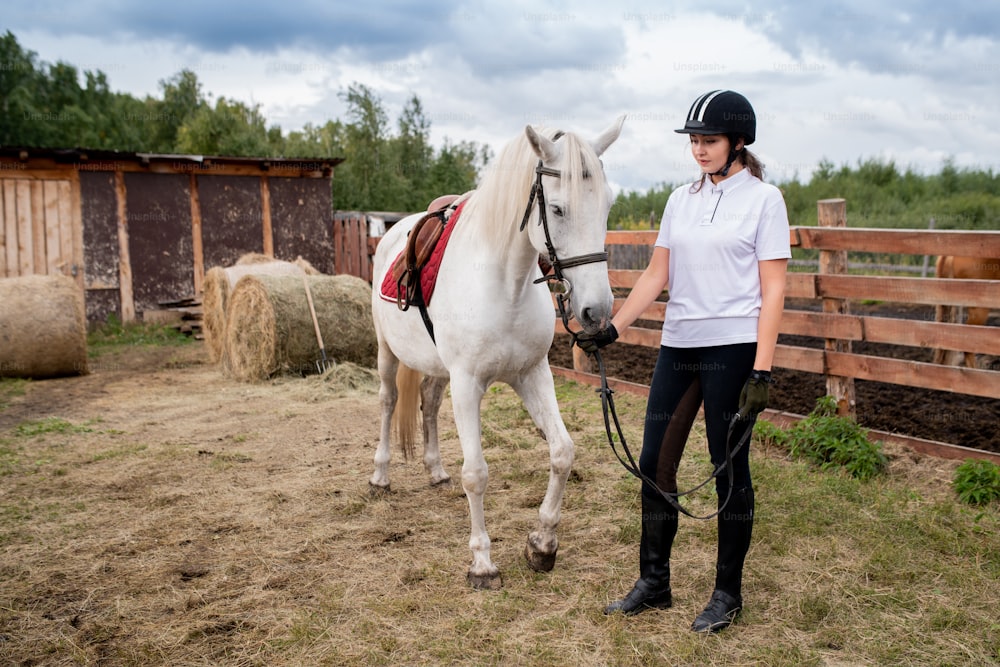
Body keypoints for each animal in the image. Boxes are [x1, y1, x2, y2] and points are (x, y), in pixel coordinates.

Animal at [368, 117, 624, 588]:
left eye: (607, 206)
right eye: (557, 209)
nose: (596, 312)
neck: (507, 285)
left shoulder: (532, 374)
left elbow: (562, 452)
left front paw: (542, 544)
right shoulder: (468, 384)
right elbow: (476, 474)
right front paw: (482, 562)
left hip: (439, 370)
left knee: (428, 403)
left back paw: (435, 470)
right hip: (386, 353)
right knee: (389, 401)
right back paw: (380, 475)